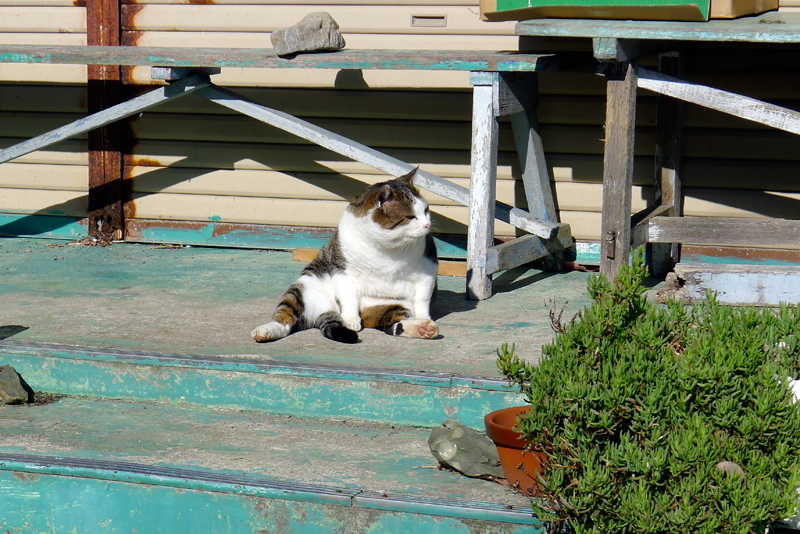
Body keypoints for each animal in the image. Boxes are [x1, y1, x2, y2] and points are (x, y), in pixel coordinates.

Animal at [252, 170, 440, 346]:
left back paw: (423, 328)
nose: (428, 224)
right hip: (302, 287)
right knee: (285, 318)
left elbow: (422, 299)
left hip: (396, 304)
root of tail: (329, 311)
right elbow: (349, 297)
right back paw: (265, 331)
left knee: (394, 324)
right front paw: (350, 320)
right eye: (410, 217)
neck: (386, 247)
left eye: (426, 210)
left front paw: (424, 317)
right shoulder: (342, 270)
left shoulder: (428, 268)